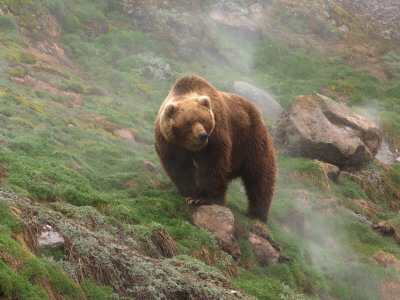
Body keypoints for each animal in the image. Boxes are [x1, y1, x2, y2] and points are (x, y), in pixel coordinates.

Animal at [155, 75, 276, 223]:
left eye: (203, 120)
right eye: (188, 123)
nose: (202, 136)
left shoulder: (216, 133)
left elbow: (212, 164)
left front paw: (199, 198)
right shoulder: (169, 141)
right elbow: (178, 164)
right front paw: (190, 190)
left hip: (251, 140)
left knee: (259, 176)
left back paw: (257, 214)